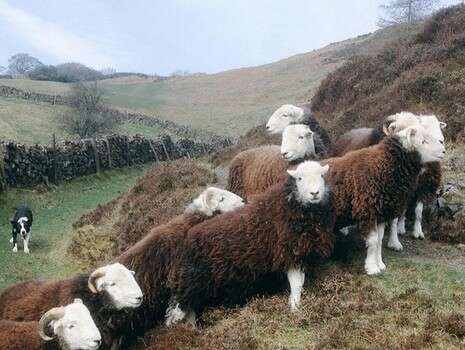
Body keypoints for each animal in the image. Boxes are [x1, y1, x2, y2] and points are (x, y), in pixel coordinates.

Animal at [165, 161, 336, 326]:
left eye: (322, 176)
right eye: (299, 178)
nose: (315, 193)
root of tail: (186, 239)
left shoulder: (299, 253)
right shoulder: (289, 252)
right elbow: (296, 284)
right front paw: (295, 307)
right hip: (190, 281)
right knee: (178, 312)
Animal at [322, 124, 446, 274]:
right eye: (423, 141)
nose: (444, 151)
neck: (383, 165)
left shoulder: (381, 213)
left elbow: (379, 240)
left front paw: (380, 264)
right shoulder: (368, 211)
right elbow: (373, 241)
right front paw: (372, 268)